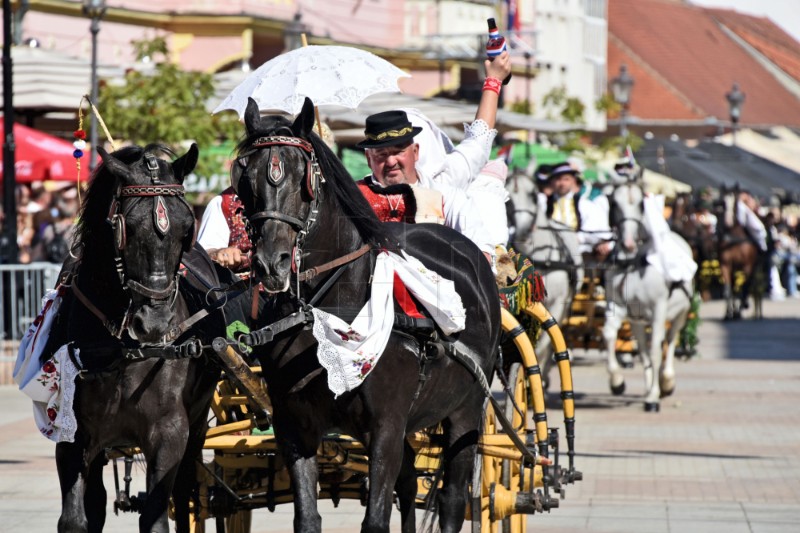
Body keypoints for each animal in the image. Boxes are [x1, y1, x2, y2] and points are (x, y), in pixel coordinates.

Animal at [40, 143, 231, 528]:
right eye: (126, 227)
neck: (122, 348)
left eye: (186, 228)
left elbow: (156, 516)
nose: (154, 323)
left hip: (198, 420)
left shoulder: (170, 432)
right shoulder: (72, 435)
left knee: (185, 489)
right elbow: (75, 518)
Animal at [231, 96, 500, 532]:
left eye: (304, 179)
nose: (271, 263)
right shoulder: (294, 428)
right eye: (245, 177)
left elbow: (376, 519)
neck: (327, 314)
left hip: (466, 411)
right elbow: (308, 517)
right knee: (408, 484)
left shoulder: (386, 428)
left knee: (453, 499)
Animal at [608, 181, 692, 410]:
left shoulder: (659, 310)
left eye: (640, 204)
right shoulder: (617, 307)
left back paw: (666, 381)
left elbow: (656, 350)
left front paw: (654, 396)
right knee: (644, 350)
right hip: (637, 322)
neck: (633, 263)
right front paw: (617, 381)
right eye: (614, 202)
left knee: (670, 341)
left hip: (680, 314)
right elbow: (610, 336)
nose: (627, 243)